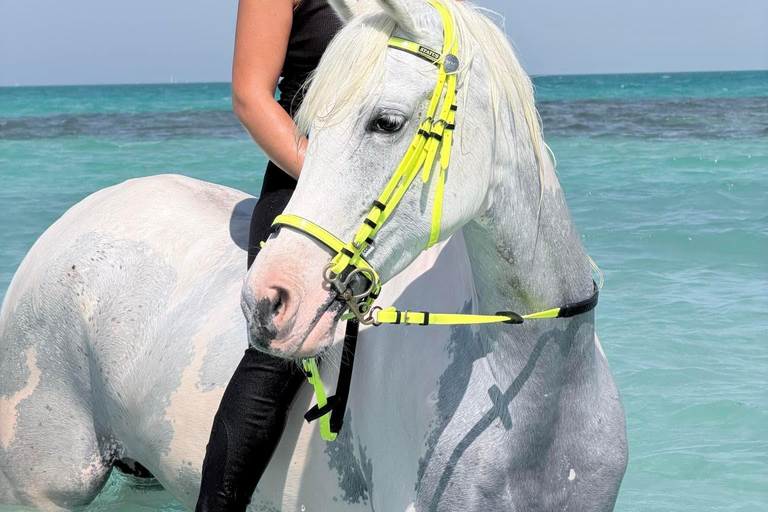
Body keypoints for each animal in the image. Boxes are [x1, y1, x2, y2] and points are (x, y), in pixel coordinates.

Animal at [0, 0, 627, 510]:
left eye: (387, 122)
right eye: (307, 128)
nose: (264, 302)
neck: (535, 389)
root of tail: (73, 221)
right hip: (43, 484)